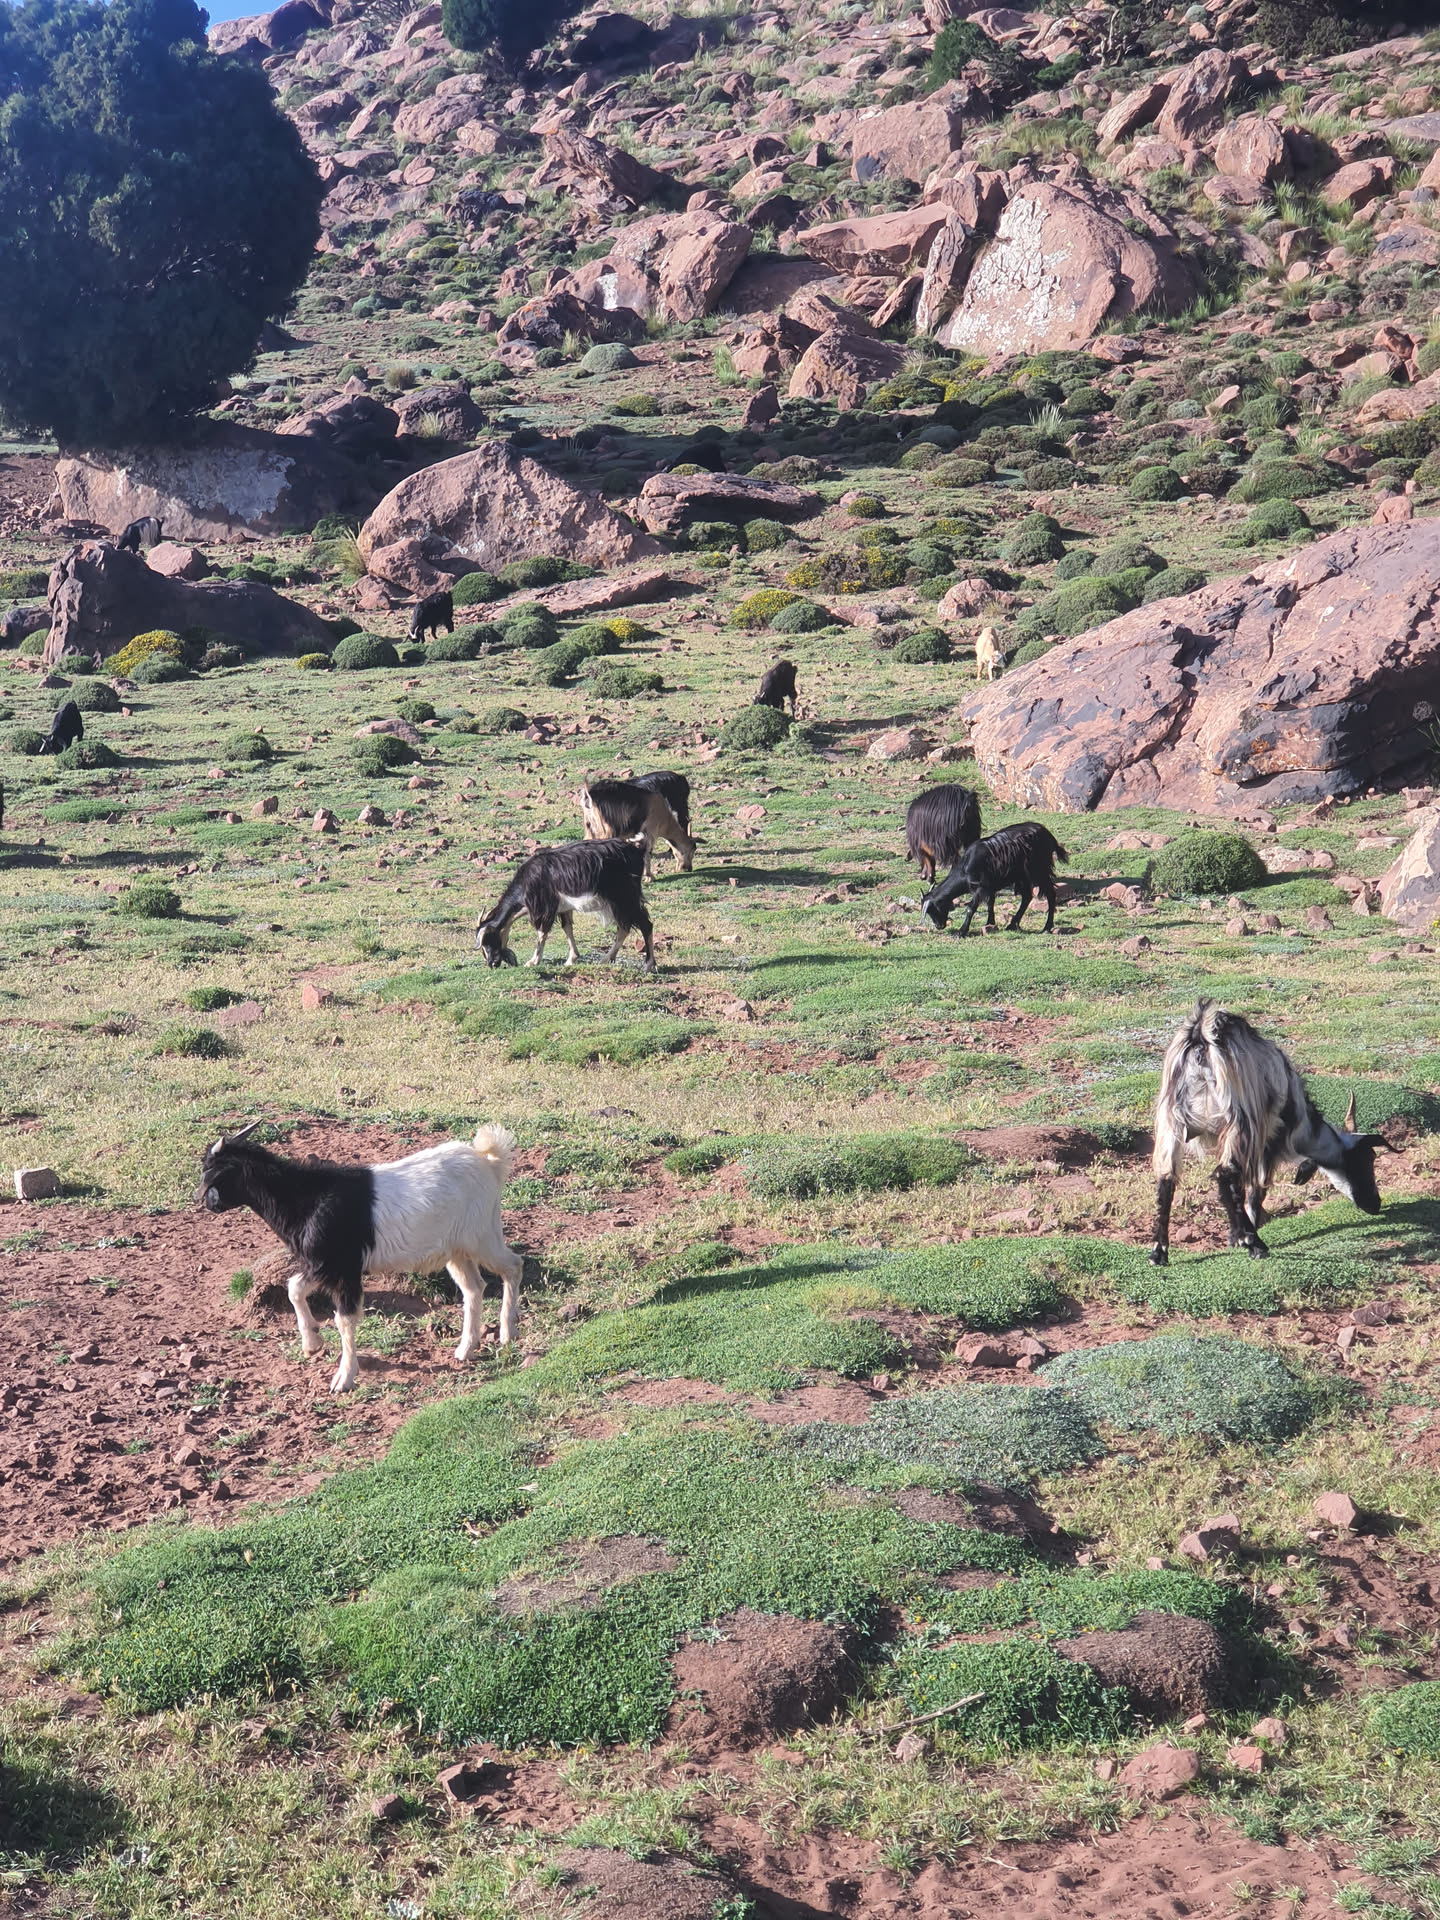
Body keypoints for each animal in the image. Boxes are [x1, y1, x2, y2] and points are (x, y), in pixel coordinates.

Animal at [198, 1121, 523, 1392]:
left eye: (212, 1169)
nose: (205, 1203)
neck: (307, 1199)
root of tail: (487, 1161)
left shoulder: (344, 1269)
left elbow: (343, 1320)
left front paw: (343, 1378)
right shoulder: (324, 1265)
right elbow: (293, 1289)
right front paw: (312, 1342)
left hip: (482, 1235)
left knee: (513, 1266)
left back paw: (507, 1333)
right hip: (456, 1250)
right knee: (474, 1288)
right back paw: (466, 1349)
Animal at [476, 837, 655, 971]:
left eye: (487, 940)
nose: (492, 964)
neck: (527, 883)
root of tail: (637, 851)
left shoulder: (545, 909)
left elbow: (542, 933)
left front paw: (533, 961)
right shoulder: (563, 908)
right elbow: (567, 928)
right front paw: (571, 959)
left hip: (624, 898)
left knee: (644, 925)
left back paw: (648, 965)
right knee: (624, 928)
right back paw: (607, 959)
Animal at [921, 822, 1068, 936]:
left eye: (933, 908)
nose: (939, 926)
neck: (965, 868)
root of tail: (1048, 835)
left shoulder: (980, 887)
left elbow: (971, 907)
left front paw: (961, 932)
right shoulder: (989, 886)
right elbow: (990, 904)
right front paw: (990, 924)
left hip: (1039, 871)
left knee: (1050, 894)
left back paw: (1046, 927)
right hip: (1023, 876)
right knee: (1027, 897)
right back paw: (1012, 924)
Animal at [1150, 1001, 1390, 1267]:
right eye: (1365, 1159)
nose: (1375, 1203)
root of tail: (1201, 1038)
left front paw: (1234, 1236)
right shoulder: (1268, 1140)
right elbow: (1256, 1190)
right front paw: (1244, 1235)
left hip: (1171, 1121)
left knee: (1167, 1179)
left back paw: (1159, 1252)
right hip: (1240, 1120)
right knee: (1226, 1174)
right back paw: (1256, 1244)